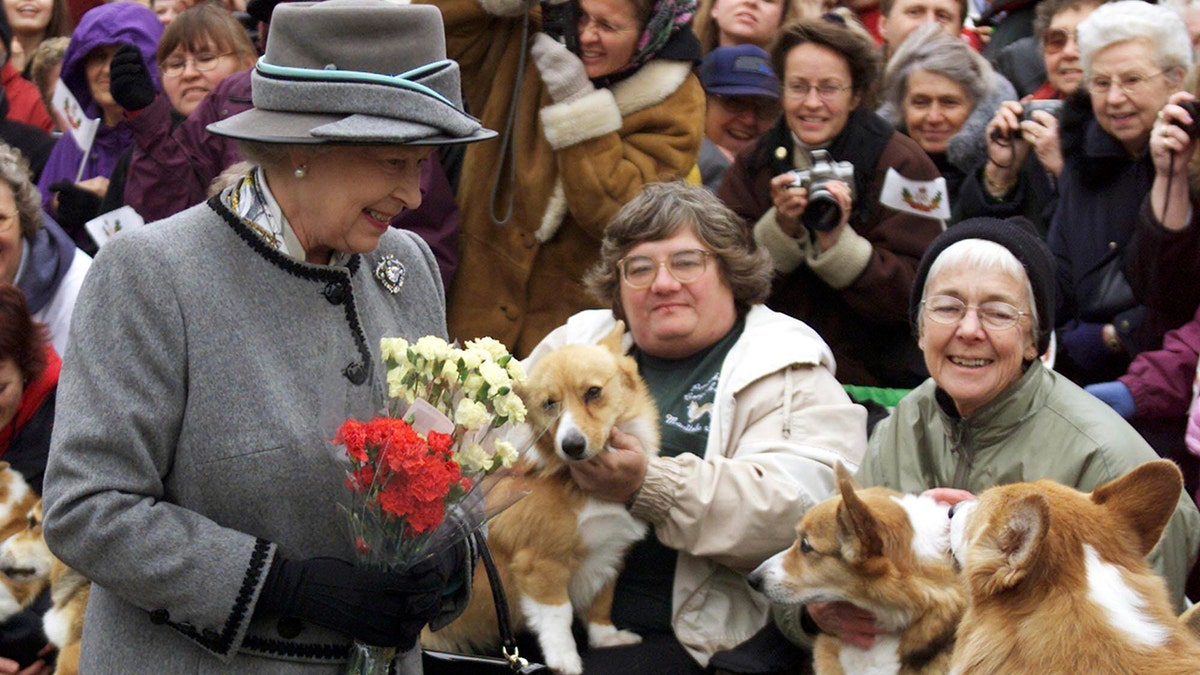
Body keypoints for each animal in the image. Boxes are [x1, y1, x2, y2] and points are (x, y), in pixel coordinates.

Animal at [427, 319, 662, 672]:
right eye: (549, 404)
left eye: (593, 392)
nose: (572, 446)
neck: (574, 480)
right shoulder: (541, 564)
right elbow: (558, 617)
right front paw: (565, 661)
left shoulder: (607, 555)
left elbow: (600, 603)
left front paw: (607, 638)